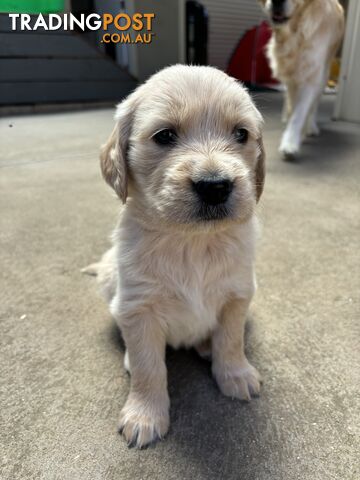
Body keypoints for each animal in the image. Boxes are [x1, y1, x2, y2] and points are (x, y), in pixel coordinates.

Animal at [89, 65, 266, 448]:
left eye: (241, 133)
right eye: (165, 136)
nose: (215, 185)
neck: (192, 243)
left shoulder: (238, 295)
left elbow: (231, 340)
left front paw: (235, 374)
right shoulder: (138, 307)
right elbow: (149, 367)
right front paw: (145, 415)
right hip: (110, 281)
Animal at [258, 0, 344, 159]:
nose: (277, 2)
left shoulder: (311, 75)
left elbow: (299, 113)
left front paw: (290, 143)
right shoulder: (291, 77)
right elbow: (293, 106)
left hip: (324, 73)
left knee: (314, 104)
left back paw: (311, 126)